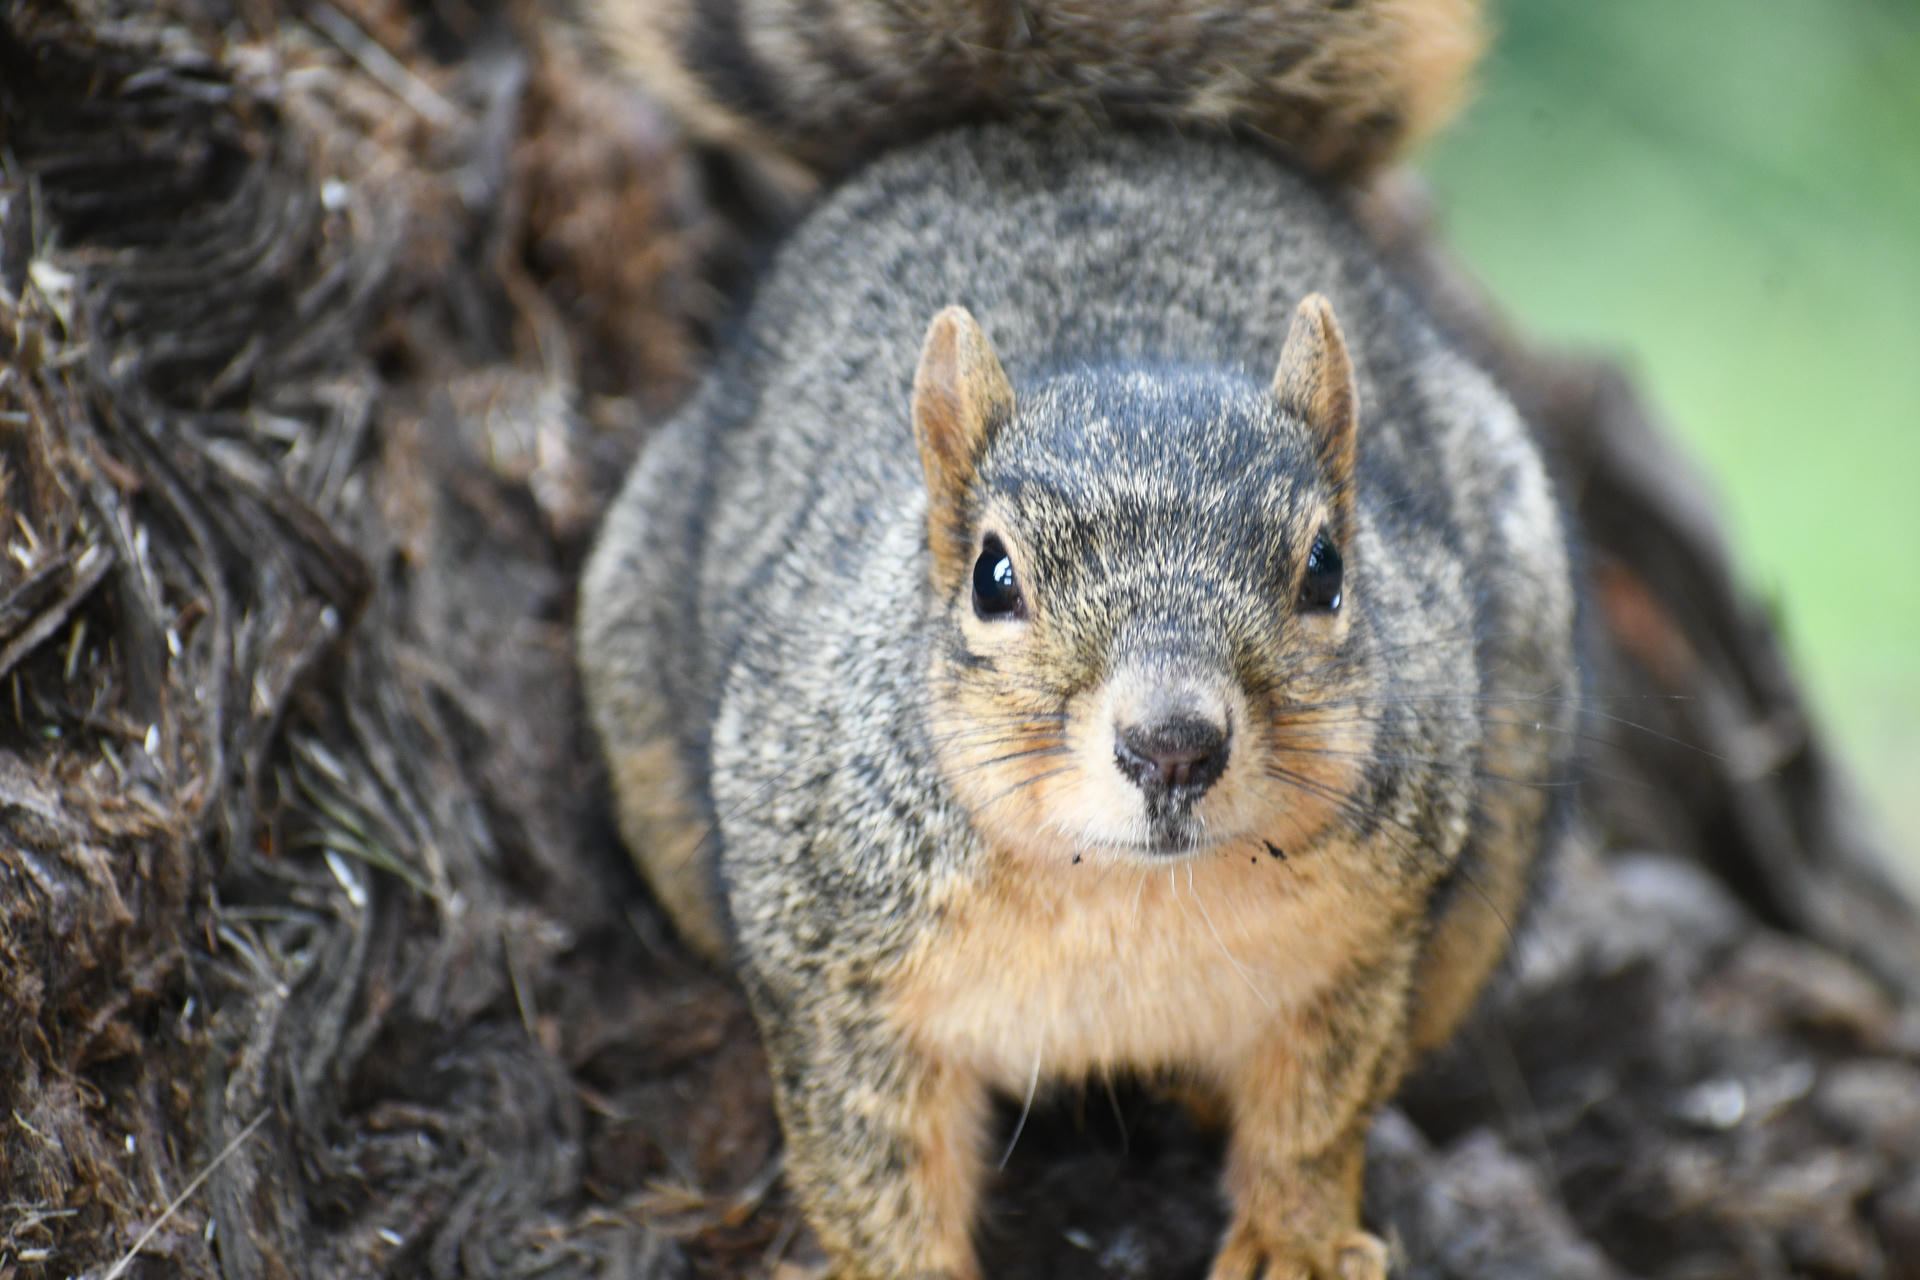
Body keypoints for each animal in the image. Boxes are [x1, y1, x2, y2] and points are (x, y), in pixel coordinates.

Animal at [577, 3, 1579, 1277]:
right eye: (993, 576)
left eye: (1326, 568)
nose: (1172, 744)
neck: (1126, 894)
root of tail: (1051, 123)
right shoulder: (831, 975)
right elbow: (868, 1163)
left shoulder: (1370, 942)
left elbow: (1319, 1109)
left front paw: (1298, 1242)